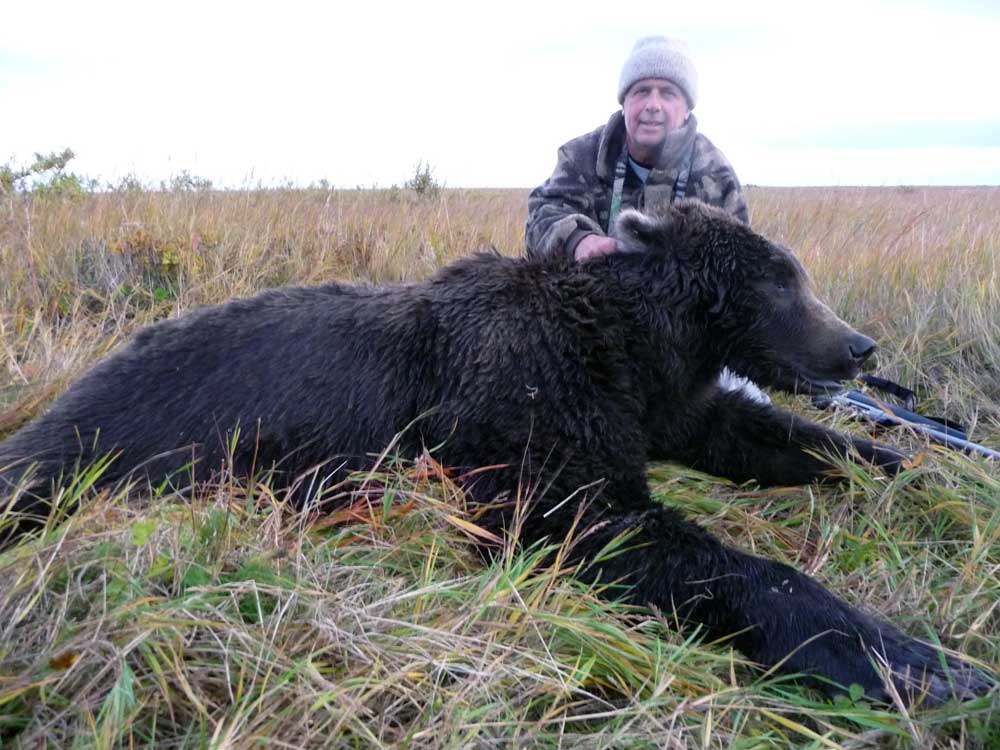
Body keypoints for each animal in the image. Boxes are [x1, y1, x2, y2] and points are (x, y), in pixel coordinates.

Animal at [0, 200, 991, 707]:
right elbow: (612, 531)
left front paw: (903, 465)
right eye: (781, 280)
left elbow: (745, 433)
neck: (620, 337)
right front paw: (924, 665)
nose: (857, 346)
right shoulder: (528, 413)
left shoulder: (654, 400)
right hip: (115, 450)